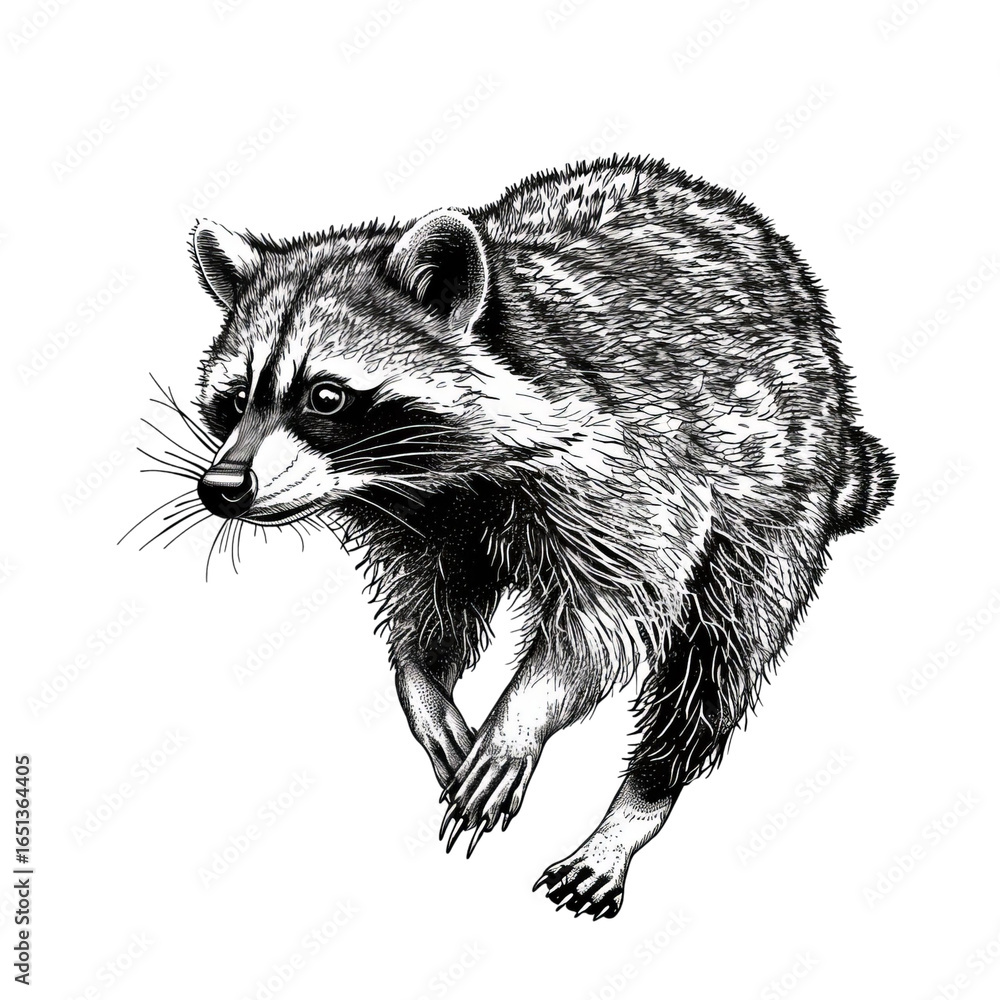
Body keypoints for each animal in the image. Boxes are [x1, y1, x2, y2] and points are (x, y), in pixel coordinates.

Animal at [183, 155, 894, 919]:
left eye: (325, 396)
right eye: (235, 400)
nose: (222, 487)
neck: (439, 480)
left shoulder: (630, 469)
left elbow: (610, 619)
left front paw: (522, 712)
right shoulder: (424, 523)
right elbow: (431, 607)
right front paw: (422, 681)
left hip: (777, 498)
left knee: (716, 662)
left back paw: (643, 797)